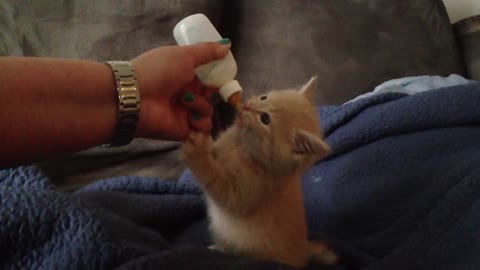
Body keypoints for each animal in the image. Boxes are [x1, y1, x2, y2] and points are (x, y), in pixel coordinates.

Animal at [181, 77, 338, 266]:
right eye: (264, 97)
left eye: (265, 119)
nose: (246, 105)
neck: (244, 146)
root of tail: (303, 251)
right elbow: (216, 149)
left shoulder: (244, 193)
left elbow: (215, 181)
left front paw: (196, 152)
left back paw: (217, 249)